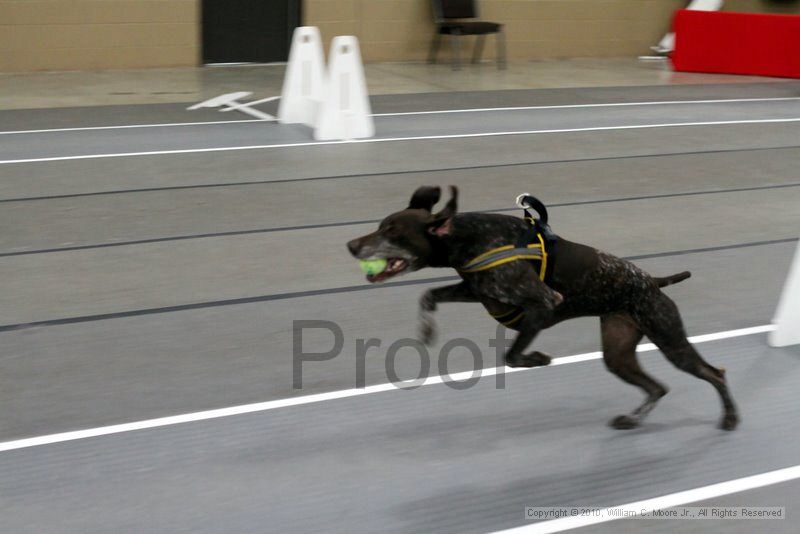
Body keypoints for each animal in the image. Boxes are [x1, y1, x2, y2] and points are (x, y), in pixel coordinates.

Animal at [346, 186, 740, 434]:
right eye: (381, 226)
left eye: (393, 231)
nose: (351, 245)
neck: (470, 238)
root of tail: (653, 282)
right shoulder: (479, 291)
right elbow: (428, 296)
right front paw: (427, 331)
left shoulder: (544, 303)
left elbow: (511, 355)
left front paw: (536, 359)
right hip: (618, 352)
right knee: (658, 388)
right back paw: (632, 419)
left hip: (670, 339)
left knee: (715, 373)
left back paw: (730, 418)